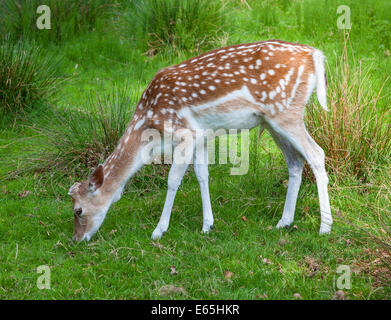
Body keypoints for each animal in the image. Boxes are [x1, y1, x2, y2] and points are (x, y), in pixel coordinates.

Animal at [69, 39, 332, 240]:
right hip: (272, 121)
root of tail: (315, 55)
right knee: (295, 161)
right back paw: (283, 222)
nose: (76, 239)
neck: (150, 130)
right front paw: (208, 225)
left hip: (286, 112)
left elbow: (173, 180)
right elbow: (202, 175)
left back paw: (325, 227)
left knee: (317, 154)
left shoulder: (185, 132)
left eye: (78, 210)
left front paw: (158, 231)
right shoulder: (202, 136)